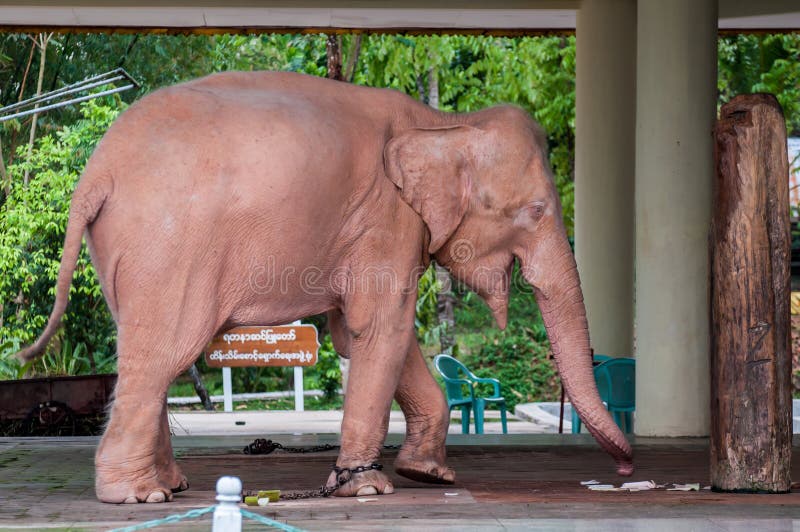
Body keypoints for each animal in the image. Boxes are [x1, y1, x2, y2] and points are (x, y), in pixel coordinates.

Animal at [18, 71, 633, 504]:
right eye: (536, 211)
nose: (626, 467)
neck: (440, 121)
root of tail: (95, 173)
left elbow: (368, 334)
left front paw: (428, 473)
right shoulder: (386, 220)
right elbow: (379, 328)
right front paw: (367, 488)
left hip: (126, 254)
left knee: (148, 354)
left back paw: (170, 487)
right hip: (168, 250)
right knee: (161, 356)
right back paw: (135, 496)